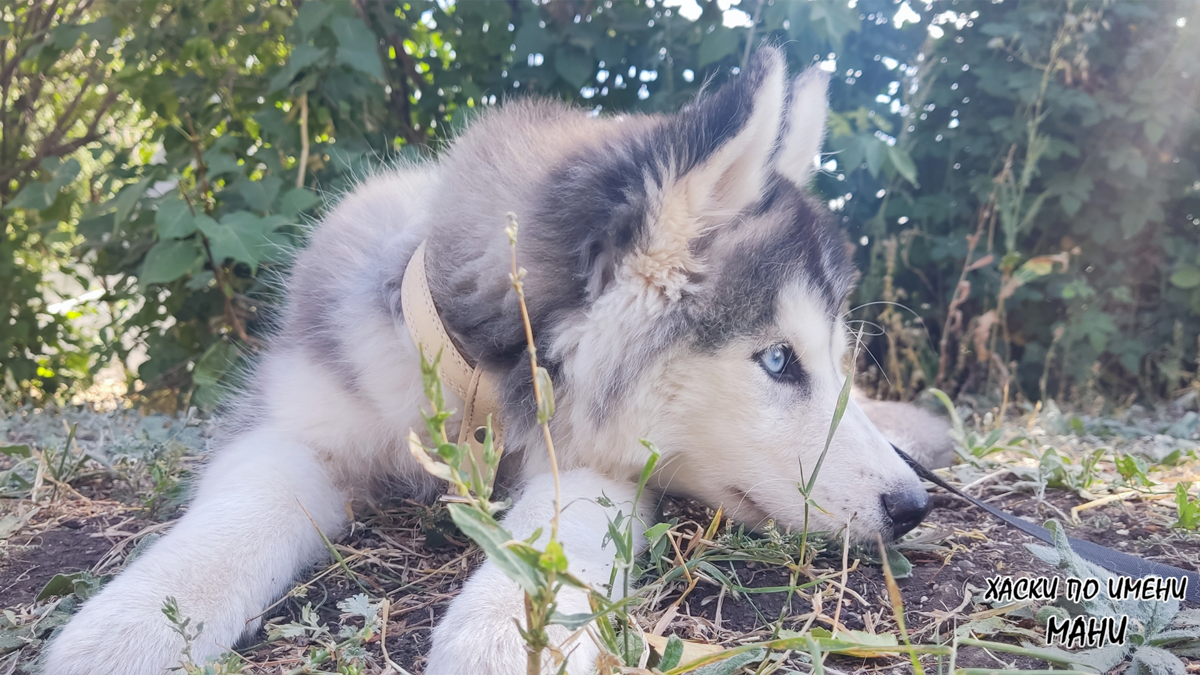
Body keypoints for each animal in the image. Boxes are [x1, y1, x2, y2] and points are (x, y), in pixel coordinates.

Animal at [42, 47, 950, 672]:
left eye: (833, 359)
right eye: (778, 361)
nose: (913, 505)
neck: (476, 378)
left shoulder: (598, 464)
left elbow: (562, 529)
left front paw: (505, 629)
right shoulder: (294, 422)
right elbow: (242, 511)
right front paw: (134, 623)